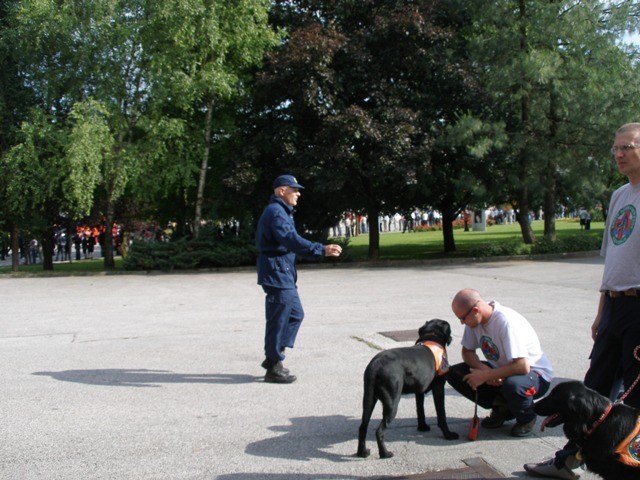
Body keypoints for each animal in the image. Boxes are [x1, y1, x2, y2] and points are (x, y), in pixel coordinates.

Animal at [356, 318, 460, 458]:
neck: (431, 335)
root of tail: (376, 364)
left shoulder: (419, 390)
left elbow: (420, 410)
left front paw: (422, 427)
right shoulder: (439, 387)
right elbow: (441, 415)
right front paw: (448, 435)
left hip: (369, 399)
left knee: (363, 426)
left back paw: (362, 452)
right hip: (392, 403)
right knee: (379, 431)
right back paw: (385, 453)